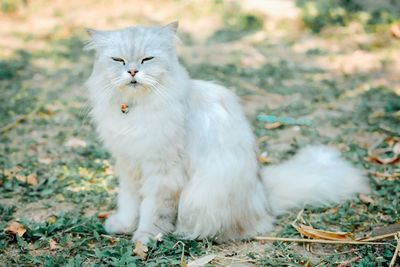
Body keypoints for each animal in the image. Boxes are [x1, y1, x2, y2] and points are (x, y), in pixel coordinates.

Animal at [84, 22, 368, 245]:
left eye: (147, 60)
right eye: (118, 61)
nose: (132, 71)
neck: (135, 109)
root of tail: (264, 196)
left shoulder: (163, 173)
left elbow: (153, 212)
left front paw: (144, 238)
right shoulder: (129, 164)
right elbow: (129, 202)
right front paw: (123, 225)